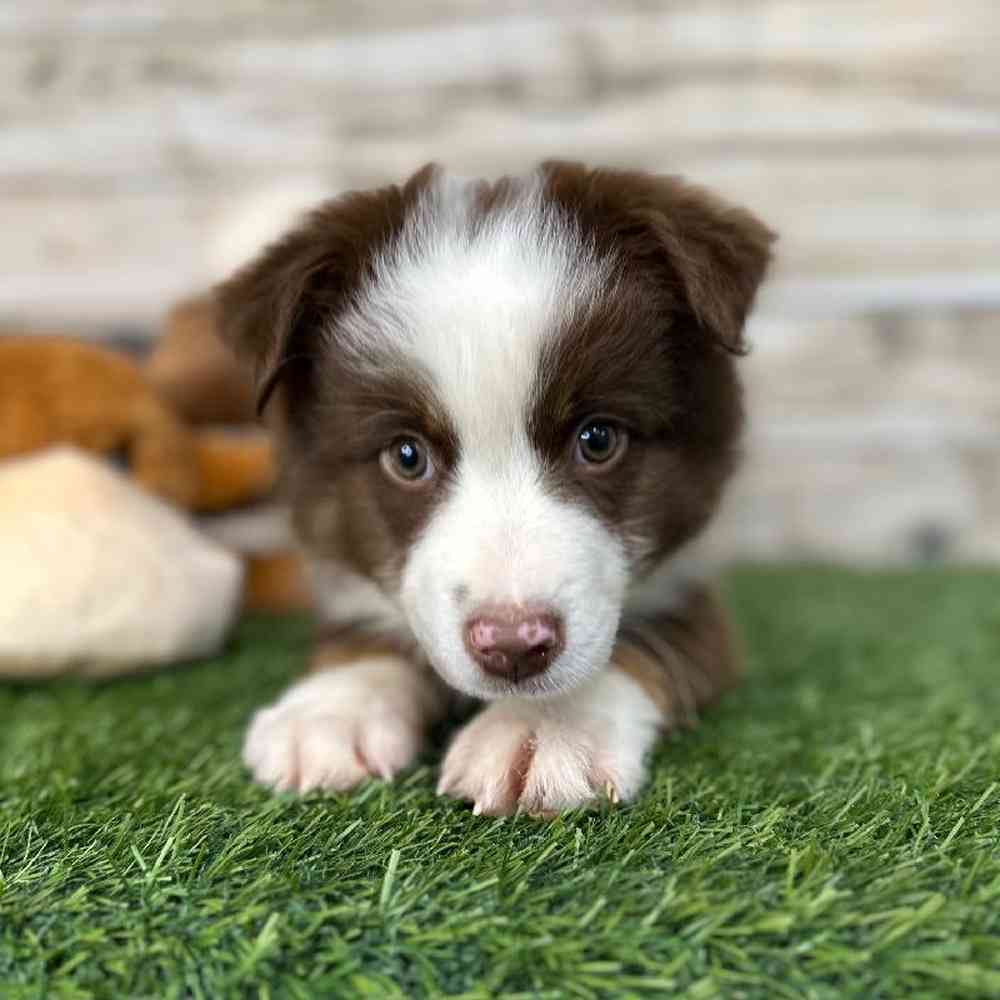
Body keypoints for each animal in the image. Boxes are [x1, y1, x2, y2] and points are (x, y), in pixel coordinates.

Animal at [219, 162, 776, 812]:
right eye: (407, 456)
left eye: (598, 440)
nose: (513, 646)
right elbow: (362, 635)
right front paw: (332, 710)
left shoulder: (691, 587)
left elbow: (649, 641)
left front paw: (542, 730)